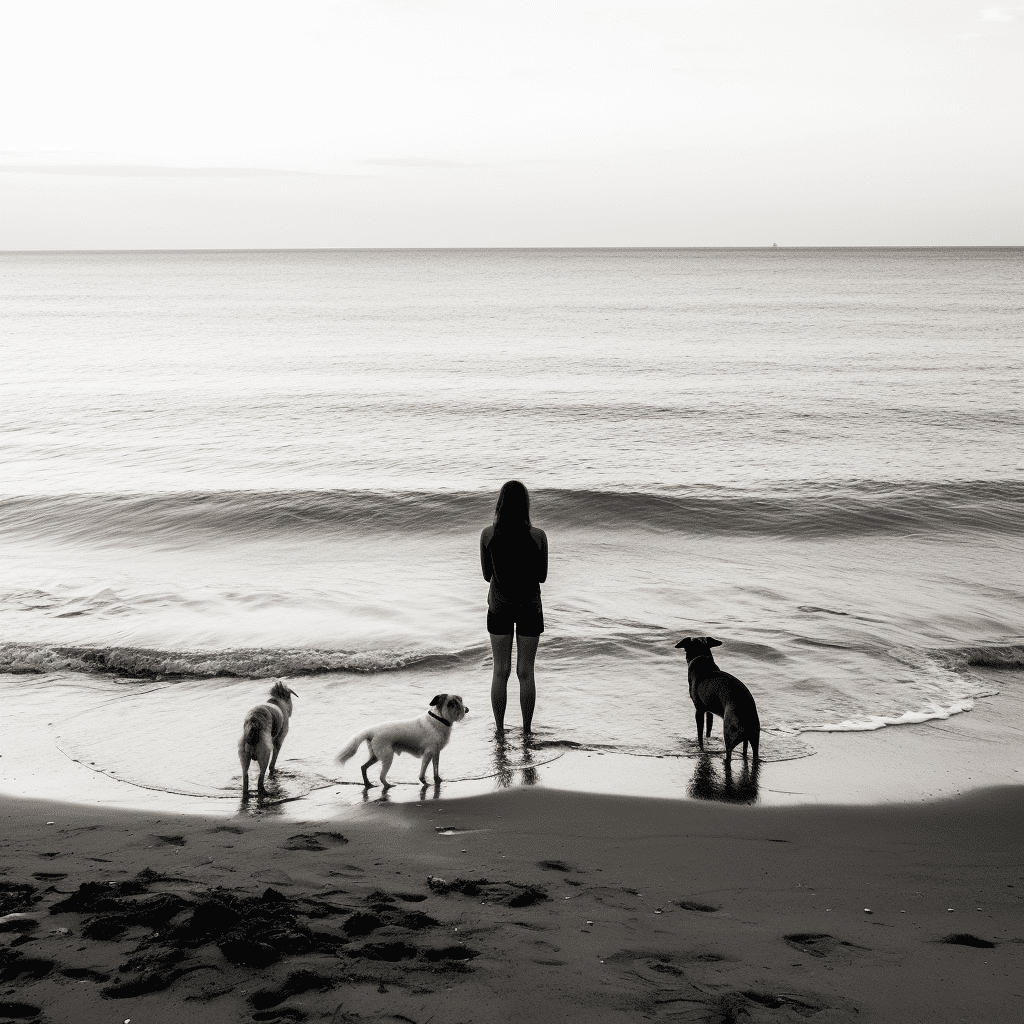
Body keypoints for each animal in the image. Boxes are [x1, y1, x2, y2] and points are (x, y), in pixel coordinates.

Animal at [337, 692, 468, 786]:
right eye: (452, 703)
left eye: (460, 700)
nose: (466, 709)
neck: (439, 719)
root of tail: (372, 730)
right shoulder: (428, 753)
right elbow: (422, 773)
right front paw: (425, 783)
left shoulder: (436, 752)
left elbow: (436, 770)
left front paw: (437, 780)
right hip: (387, 756)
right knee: (381, 776)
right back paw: (388, 785)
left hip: (376, 755)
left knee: (363, 767)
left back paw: (368, 784)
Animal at [675, 634, 757, 765]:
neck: (701, 659)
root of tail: (746, 715)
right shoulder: (709, 711)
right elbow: (708, 728)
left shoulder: (699, 710)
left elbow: (700, 734)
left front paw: (701, 748)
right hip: (755, 736)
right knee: (750, 751)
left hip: (729, 732)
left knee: (729, 753)